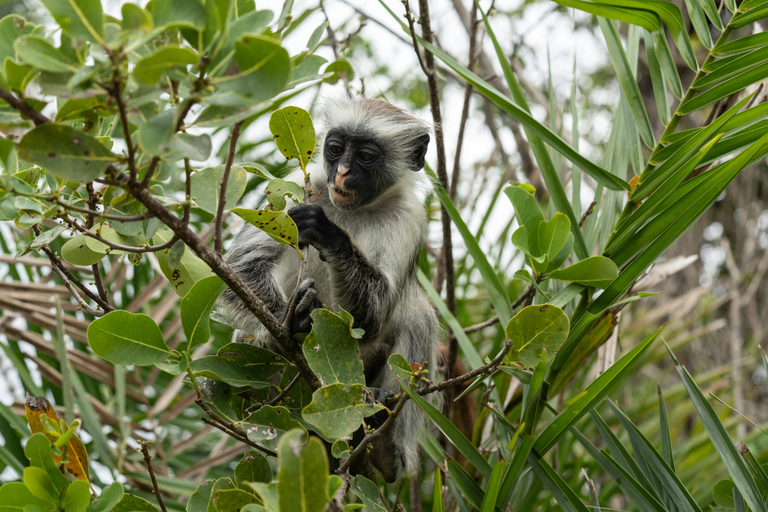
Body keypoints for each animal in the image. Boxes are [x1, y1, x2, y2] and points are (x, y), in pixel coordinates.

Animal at [219, 97, 440, 484]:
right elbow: (244, 266)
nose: (342, 173)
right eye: (336, 149)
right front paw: (292, 321)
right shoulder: (302, 184)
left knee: (419, 318)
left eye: (365, 156)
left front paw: (329, 235)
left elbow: (373, 315)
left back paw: (386, 452)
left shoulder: (408, 215)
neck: (356, 210)